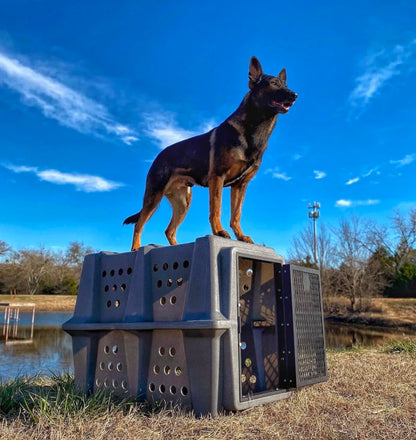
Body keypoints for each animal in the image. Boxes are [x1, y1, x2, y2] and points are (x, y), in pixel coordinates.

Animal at [123, 56, 296, 249]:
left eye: (286, 85)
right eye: (273, 83)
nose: (294, 95)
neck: (254, 129)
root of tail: (158, 156)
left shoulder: (240, 185)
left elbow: (236, 214)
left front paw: (240, 236)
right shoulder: (217, 178)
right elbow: (216, 209)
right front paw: (219, 232)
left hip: (183, 203)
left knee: (169, 230)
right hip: (154, 197)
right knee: (139, 224)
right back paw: (136, 249)